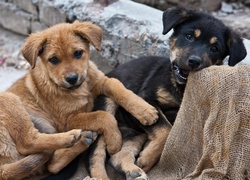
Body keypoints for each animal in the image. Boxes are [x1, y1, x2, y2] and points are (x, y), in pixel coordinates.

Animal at [0, 20, 158, 179]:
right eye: (53, 60)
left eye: (78, 53)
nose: (72, 79)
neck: (80, 89)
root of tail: (2, 170)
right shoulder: (66, 121)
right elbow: (102, 115)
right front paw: (114, 141)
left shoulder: (101, 81)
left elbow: (117, 86)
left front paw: (145, 111)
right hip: (9, 99)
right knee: (28, 142)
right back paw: (72, 136)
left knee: (52, 165)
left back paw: (83, 140)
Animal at [87, 7, 246, 180]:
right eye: (189, 36)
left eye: (214, 48)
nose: (194, 61)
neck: (181, 88)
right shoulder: (146, 101)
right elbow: (166, 129)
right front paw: (148, 158)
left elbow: (169, 129)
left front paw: (146, 160)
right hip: (107, 108)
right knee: (96, 153)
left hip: (134, 133)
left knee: (116, 156)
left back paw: (134, 172)